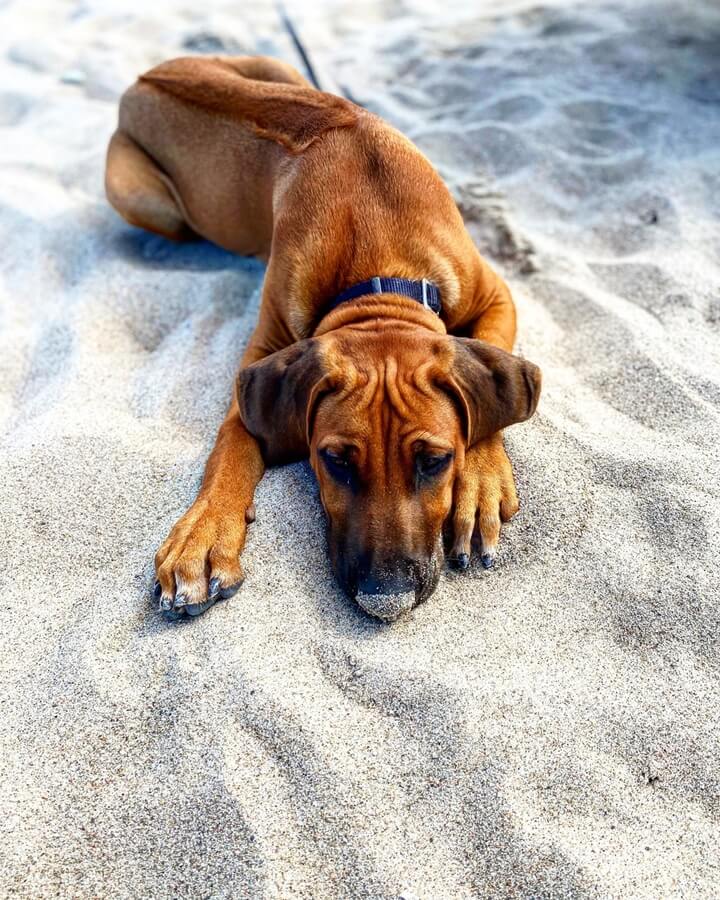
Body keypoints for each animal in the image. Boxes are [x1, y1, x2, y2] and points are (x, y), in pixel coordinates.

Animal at [105, 54, 540, 620]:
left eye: (435, 462)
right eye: (336, 462)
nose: (386, 599)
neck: (377, 268)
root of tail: (147, 74)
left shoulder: (495, 295)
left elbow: (490, 397)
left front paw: (480, 484)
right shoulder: (262, 359)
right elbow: (233, 438)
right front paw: (201, 536)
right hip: (138, 194)